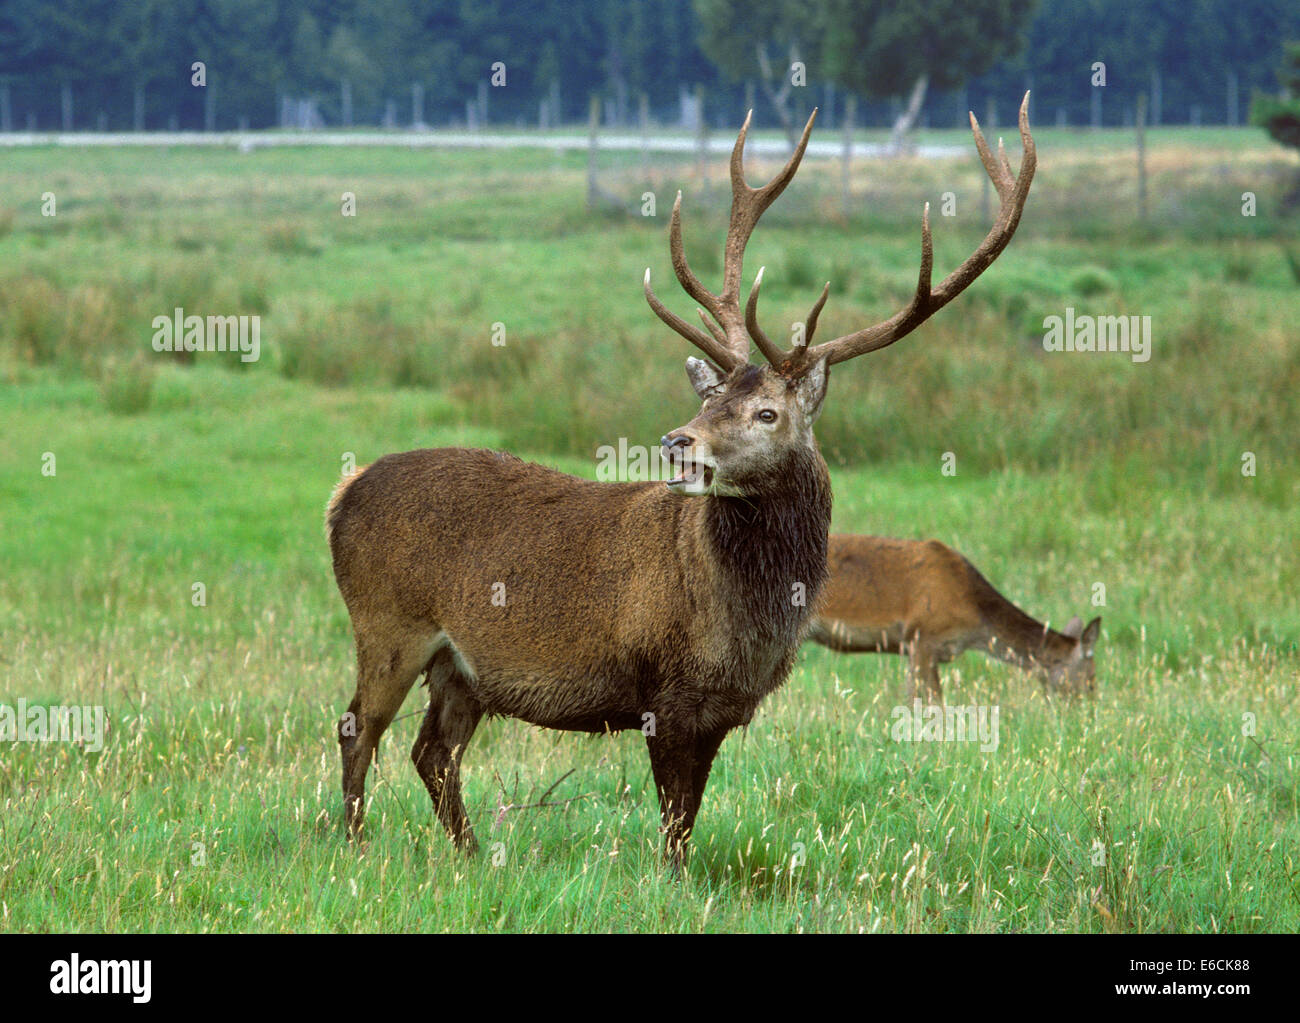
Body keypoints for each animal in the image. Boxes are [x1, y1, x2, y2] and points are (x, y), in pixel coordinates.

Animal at [325, 95, 1036, 869]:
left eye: (765, 412)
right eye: (708, 398)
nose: (677, 442)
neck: (745, 620)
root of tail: (340, 498)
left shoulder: (720, 709)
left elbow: (688, 816)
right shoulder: (663, 691)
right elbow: (672, 824)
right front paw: (668, 883)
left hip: (461, 664)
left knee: (433, 751)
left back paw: (473, 852)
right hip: (388, 621)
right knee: (357, 727)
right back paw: (355, 846)